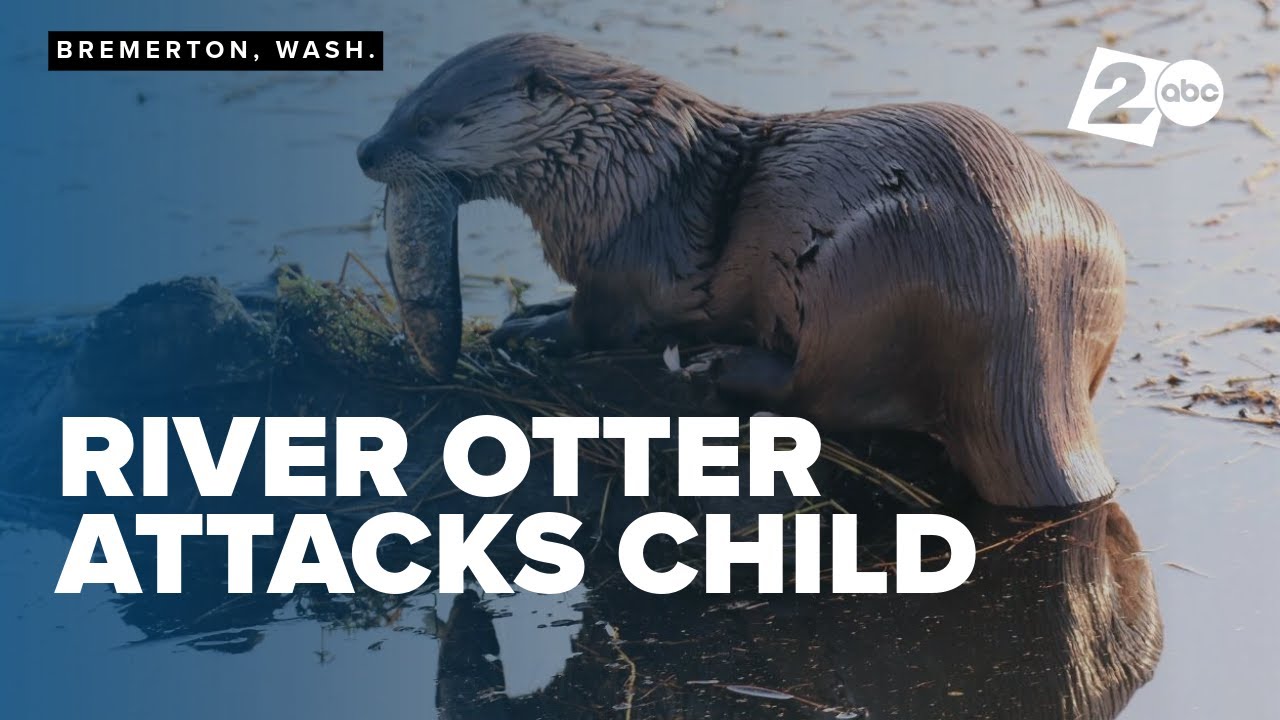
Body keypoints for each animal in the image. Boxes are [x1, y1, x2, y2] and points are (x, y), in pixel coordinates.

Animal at [357, 33, 1127, 508]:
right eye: (396, 103)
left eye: (427, 122)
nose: (366, 151)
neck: (617, 169)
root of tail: (1029, 311)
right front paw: (530, 311)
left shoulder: (622, 262)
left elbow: (595, 323)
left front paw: (530, 330)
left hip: (873, 271)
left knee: (822, 396)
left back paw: (725, 364)